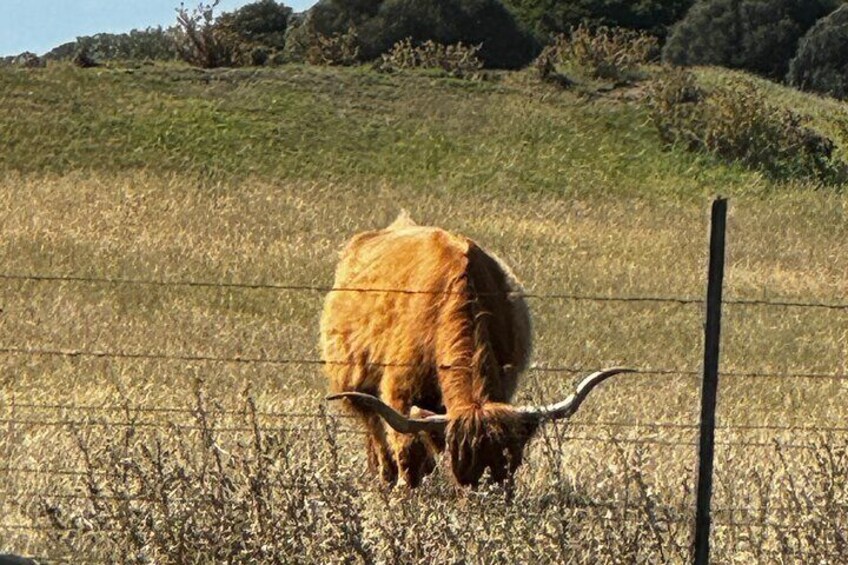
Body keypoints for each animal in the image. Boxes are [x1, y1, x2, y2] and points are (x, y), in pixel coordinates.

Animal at [318, 214, 628, 486]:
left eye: (511, 464)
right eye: (460, 468)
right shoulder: (399, 392)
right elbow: (406, 451)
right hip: (356, 388)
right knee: (377, 435)